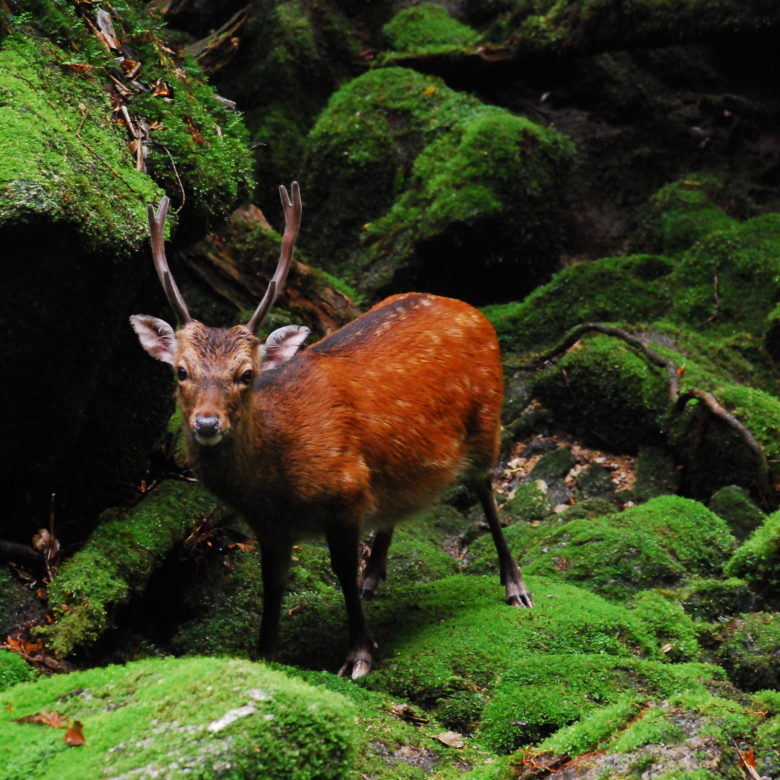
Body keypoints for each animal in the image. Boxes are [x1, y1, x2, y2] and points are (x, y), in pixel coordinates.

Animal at [131, 184, 532, 676]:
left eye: (246, 374)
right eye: (180, 372)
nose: (207, 423)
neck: (277, 485)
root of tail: (470, 308)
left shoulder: (345, 490)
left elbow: (339, 570)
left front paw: (359, 653)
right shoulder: (269, 525)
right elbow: (272, 584)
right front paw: (264, 652)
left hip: (486, 419)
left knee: (486, 492)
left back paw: (515, 586)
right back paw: (373, 577)